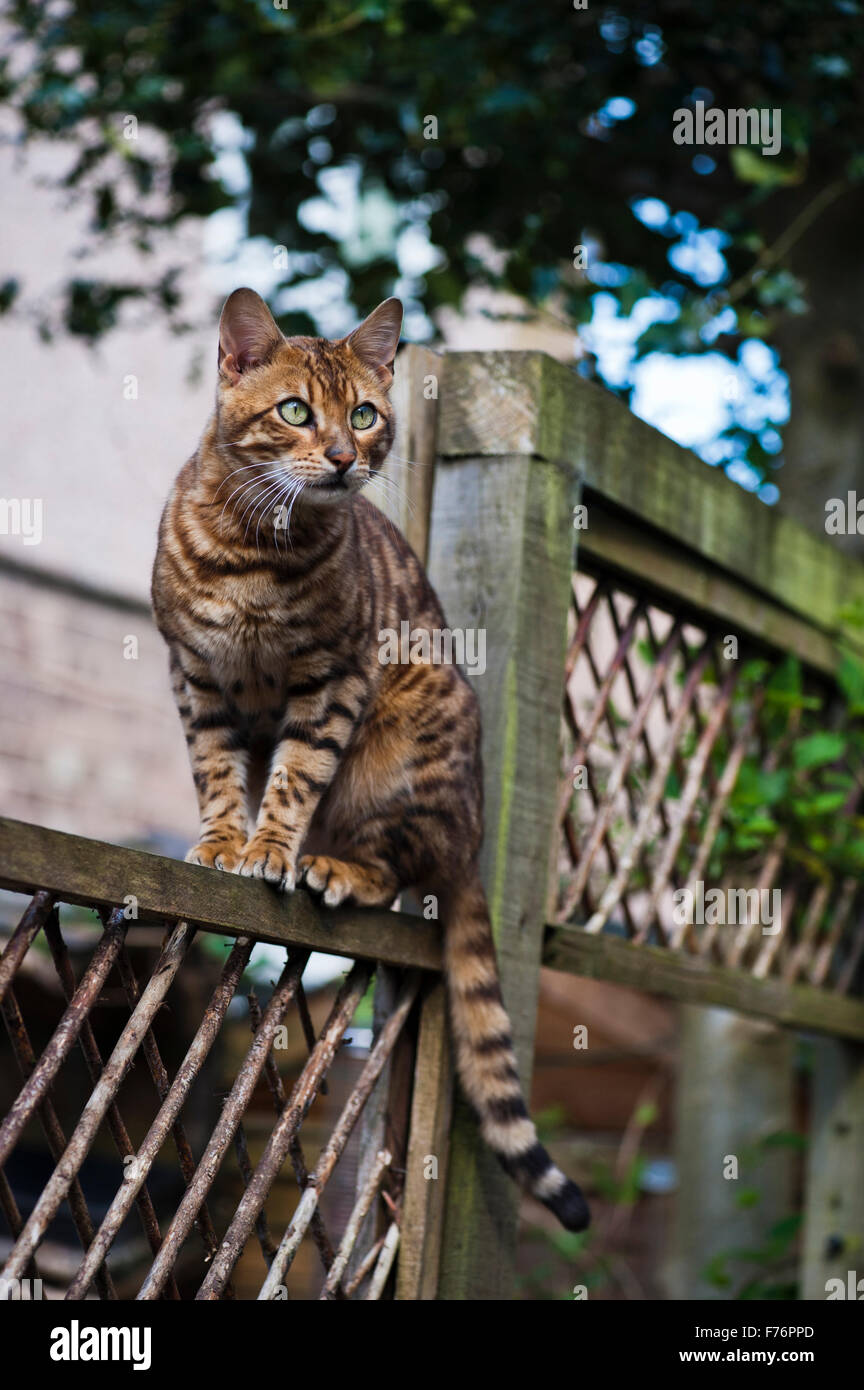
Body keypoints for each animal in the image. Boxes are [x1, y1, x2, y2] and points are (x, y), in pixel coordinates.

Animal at [152, 290, 591, 1228]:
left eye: (363, 414)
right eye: (294, 411)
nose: (346, 457)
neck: (256, 548)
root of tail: (474, 842)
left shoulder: (334, 682)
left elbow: (292, 778)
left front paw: (268, 850)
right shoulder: (195, 676)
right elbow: (217, 774)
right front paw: (221, 843)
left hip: (404, 746)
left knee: (393, 867)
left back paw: (333, 867)